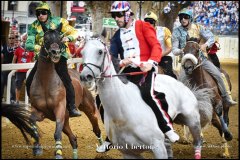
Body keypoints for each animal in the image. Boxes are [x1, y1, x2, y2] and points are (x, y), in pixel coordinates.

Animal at [28, 25, 102, 159]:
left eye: (60, 38)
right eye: (45, 38)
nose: (55, 53)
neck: (45, 82)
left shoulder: (60, 109)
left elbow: (57, 133)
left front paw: (58, 154)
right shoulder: (38, 111)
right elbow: (32, 122)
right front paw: (37, 148)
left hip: (87, 106)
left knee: (95, 124)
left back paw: (102, 144)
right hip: (66, 121)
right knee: (73, 139)